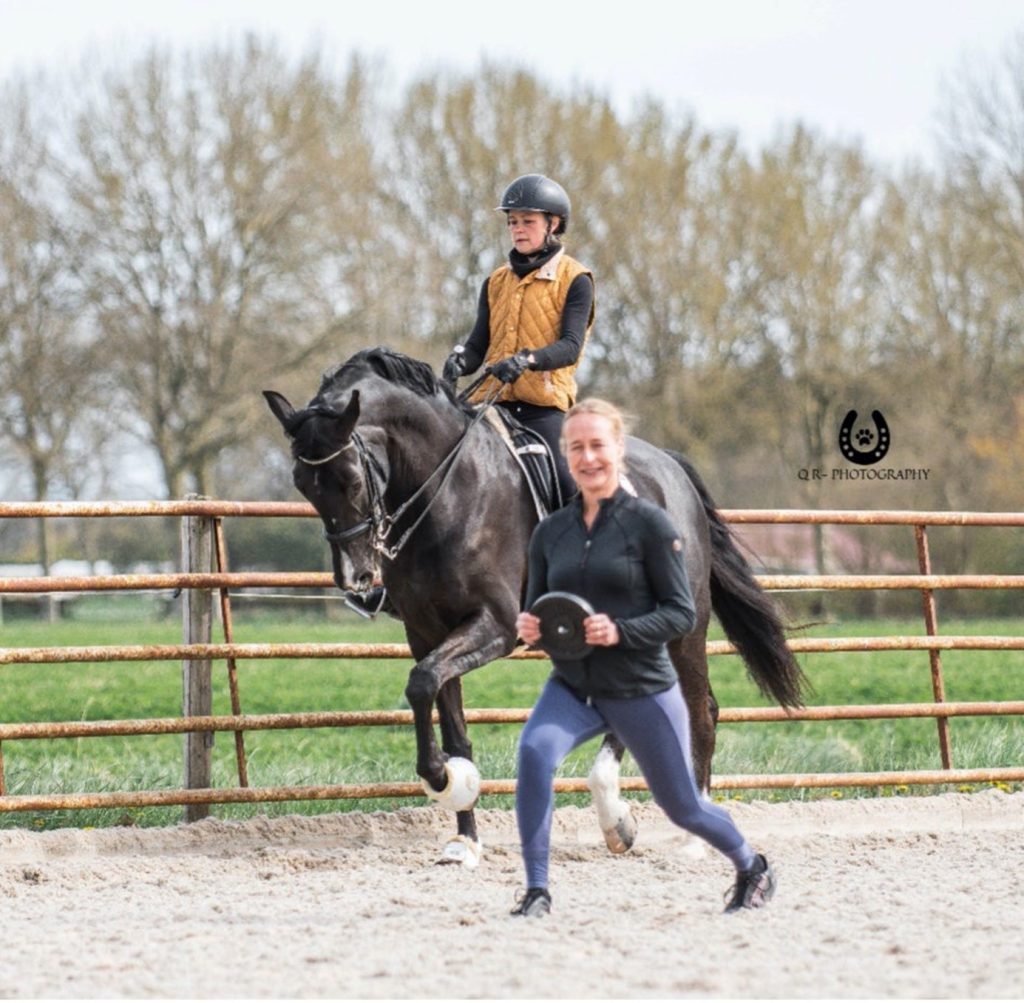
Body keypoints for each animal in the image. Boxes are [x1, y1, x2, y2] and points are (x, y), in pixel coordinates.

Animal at [264, 347, 805, 866]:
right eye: (302, 484)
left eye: (352, 479)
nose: (356, 580)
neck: (451, 490)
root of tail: (673, 471)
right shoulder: (428, 631)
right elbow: (441, 708)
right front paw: (464, 834)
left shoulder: (497, 625)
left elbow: (421, 683)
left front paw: (440, 778)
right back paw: (618, 819)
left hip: (679, 626)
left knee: (700, 710)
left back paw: (684, 836)